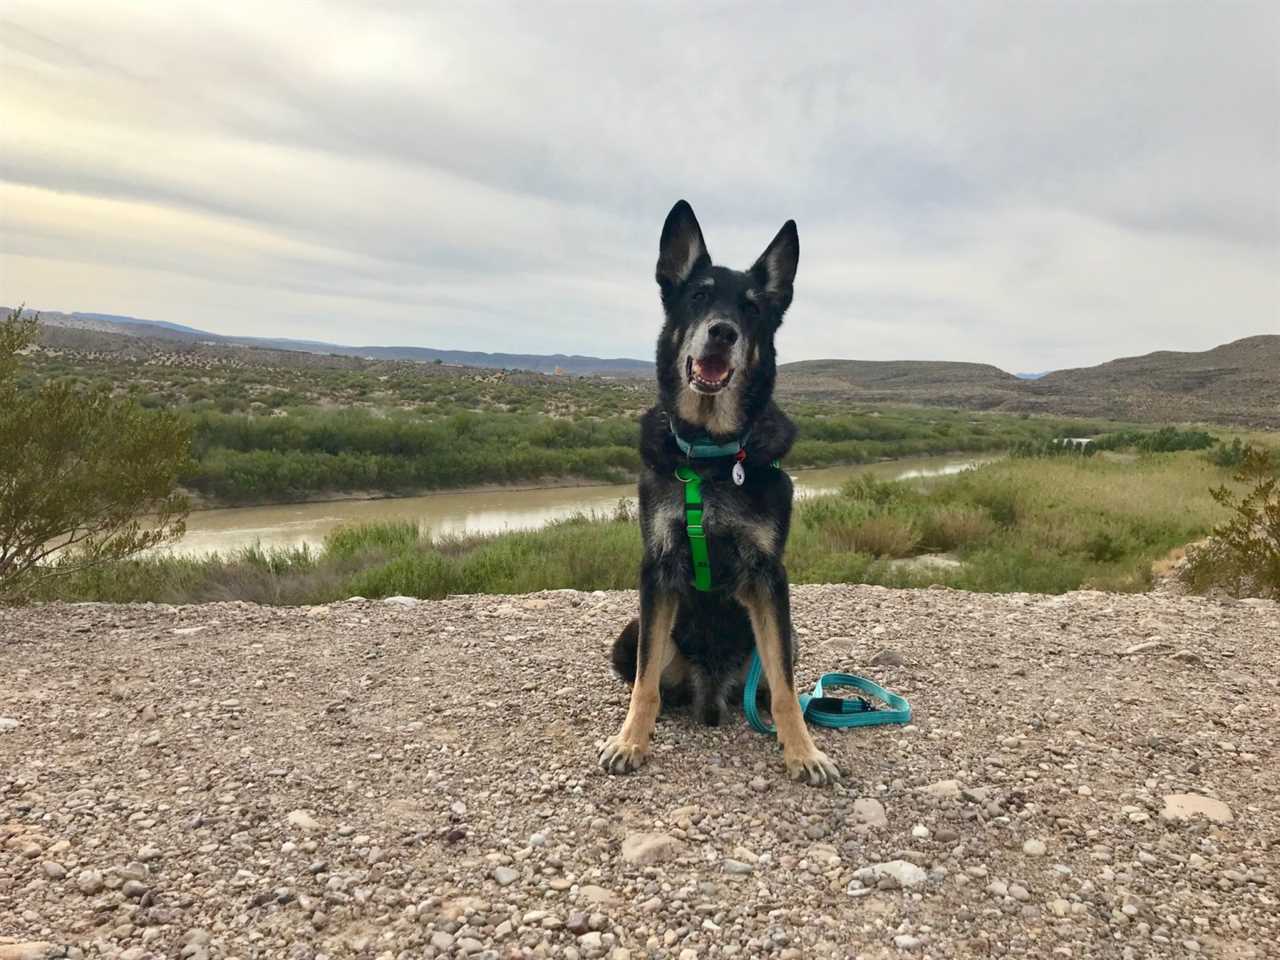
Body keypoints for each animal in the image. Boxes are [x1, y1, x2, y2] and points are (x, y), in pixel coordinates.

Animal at [596, 200, 844, 788]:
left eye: (752, 308)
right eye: (699, 296)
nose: (723, 332)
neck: (710, 455)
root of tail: (711, 688)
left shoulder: (769, 577)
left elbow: (786, 690)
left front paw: (802, 752)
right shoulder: (657, 570)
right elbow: (644, 684)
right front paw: (630, 741)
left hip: (787, 632)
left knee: (769, 684)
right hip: (629, 633)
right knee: (656, 680)